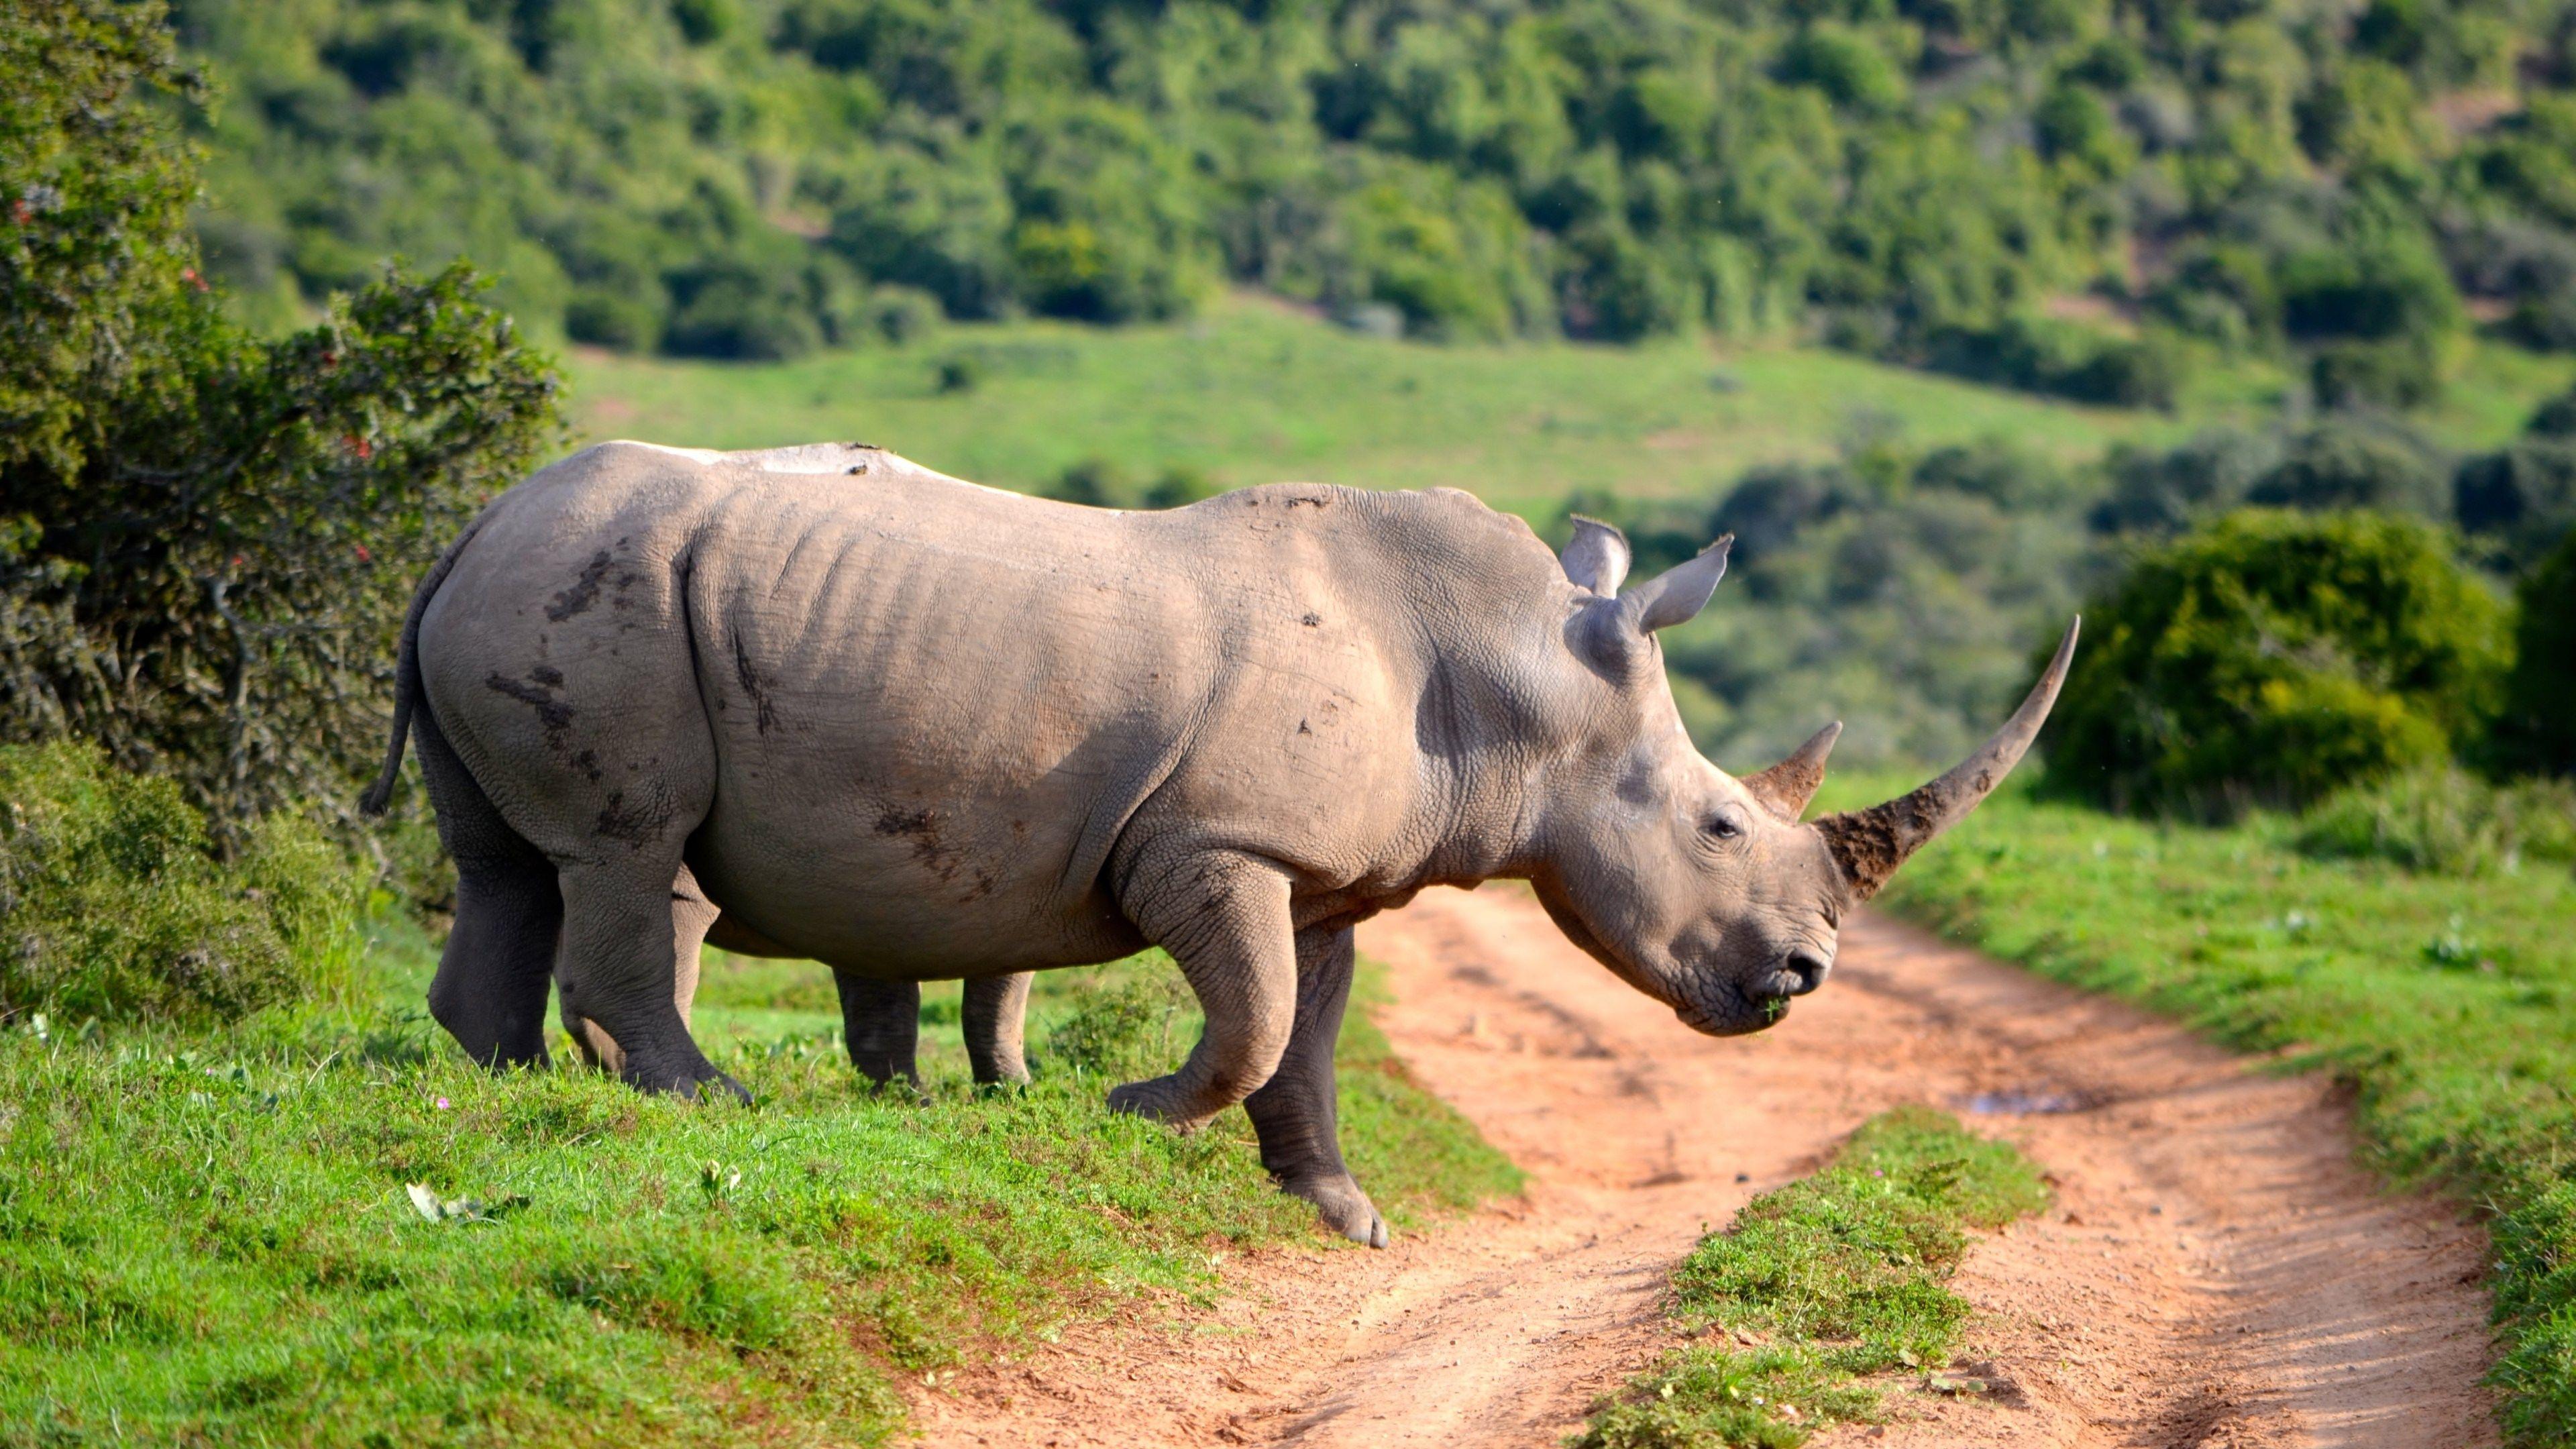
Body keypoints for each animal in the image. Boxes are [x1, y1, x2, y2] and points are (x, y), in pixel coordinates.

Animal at [364, 441, 2075, 1246]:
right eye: (1722, 823)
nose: (1803, 975)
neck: (1522, 681)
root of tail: (467, 524)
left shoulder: (1320, 880)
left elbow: (1305, 1035)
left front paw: (1341, 1212)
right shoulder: (1214, 842)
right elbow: (1249, 1024)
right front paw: (1125, 1111)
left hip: (543, 585)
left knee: (510, 865)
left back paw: (507, 1086)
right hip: (600, 598)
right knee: (626, 852)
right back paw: (697, 1100)